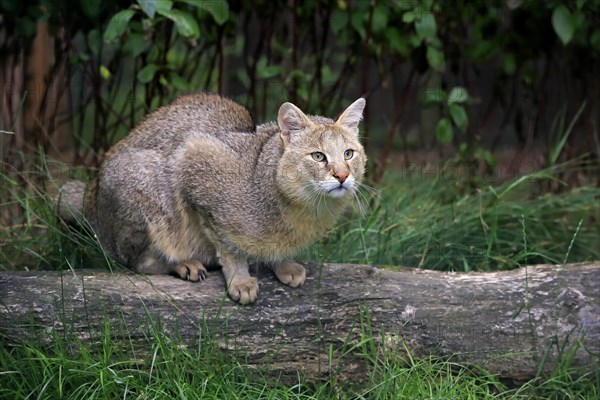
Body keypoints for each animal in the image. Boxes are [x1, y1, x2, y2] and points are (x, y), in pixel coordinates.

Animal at [57, 94, 366, 304]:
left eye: (349, 153)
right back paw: (183, 264)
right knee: (135, 262)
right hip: (144, 185)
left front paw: (281, 263)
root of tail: (91, 198)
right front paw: (240, 279)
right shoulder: (193, 161)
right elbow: (227, 243)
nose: (342, 175)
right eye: (318, 156)